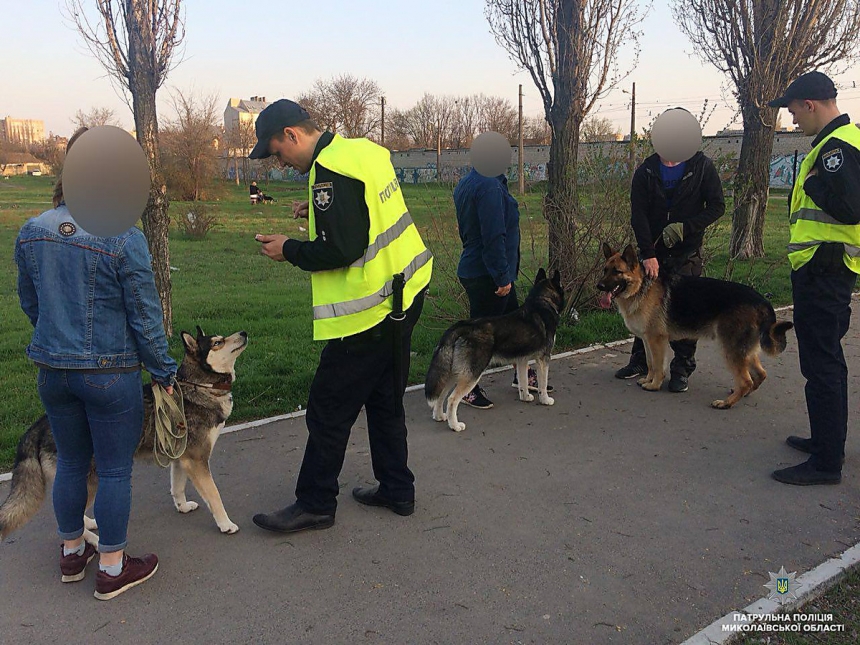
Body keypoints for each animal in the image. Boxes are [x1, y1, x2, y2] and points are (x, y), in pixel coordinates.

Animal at [0, 324, 249, 540]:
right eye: (217, 342)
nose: (244, 333)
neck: (199, 387)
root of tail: (39, 425)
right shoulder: (197, 460)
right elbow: (214, 495)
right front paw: (225, 524)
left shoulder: (181, 458)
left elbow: (177, 487)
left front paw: (183, 506)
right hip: (91, 478)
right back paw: (92, 541)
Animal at [424, 270, 564, 430]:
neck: (542, 301)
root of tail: (461, 326)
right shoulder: (543, 359)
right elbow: (543, 384)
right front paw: (545, 399)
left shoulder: (522, 359)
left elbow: (522, 382)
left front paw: (525, 397)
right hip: (472, 373)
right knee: (452, 399)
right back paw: (455, 426)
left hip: (454, 372)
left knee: (441, 395)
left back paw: (439, 416)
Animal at [596, 244, 792, 410]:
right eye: (605, 270)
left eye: (617, 272)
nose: (599, 286)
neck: (641, 287)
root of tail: (762, 301)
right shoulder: (646, 339)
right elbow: (651, 363)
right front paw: (648, 380)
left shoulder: (656, 340)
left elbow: (658, 366)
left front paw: (654, 385)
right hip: (745, 351)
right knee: (760, 374)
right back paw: (741, 395)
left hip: (730, 349)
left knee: (746, 381)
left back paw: (726, 403)